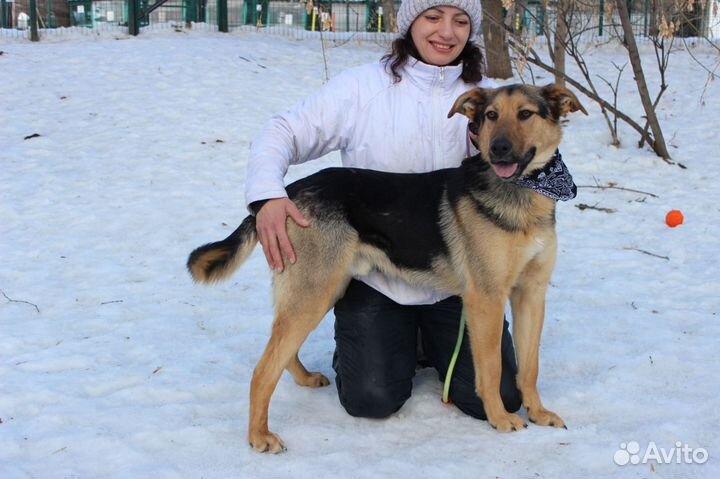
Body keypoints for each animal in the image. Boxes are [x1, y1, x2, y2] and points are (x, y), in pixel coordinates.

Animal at [188, 83, 588, 454]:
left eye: (525, 114)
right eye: (491, 115)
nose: (499, 149)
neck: (526, 191)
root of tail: (283, 196)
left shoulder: (531, 294)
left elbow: (529, 367)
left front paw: (537, 413)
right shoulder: (486, 299)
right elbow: (492, 370)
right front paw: (500, 418)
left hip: (320, 290)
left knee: (281, 352)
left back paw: (303, 380)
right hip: (315, 292)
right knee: (262, 370)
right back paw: (259, 436)